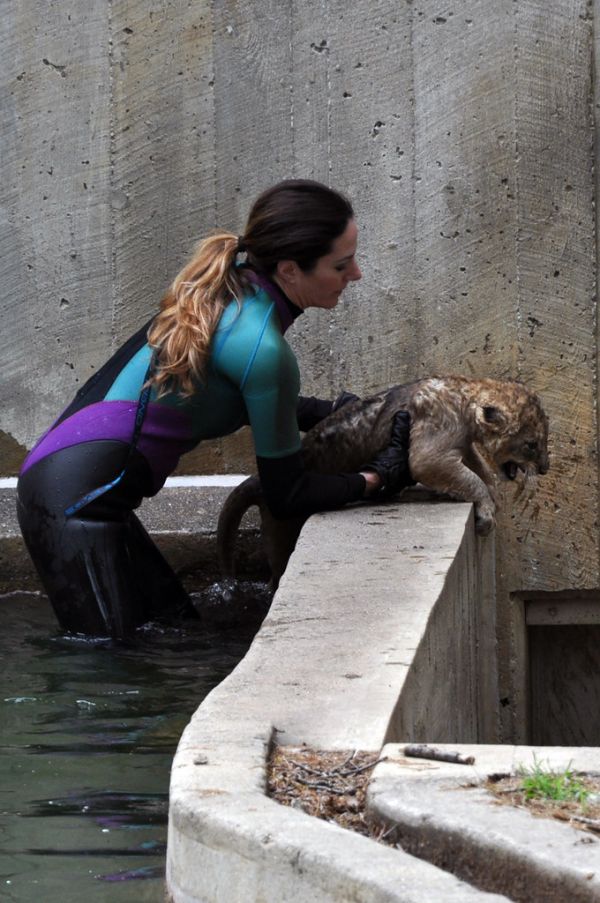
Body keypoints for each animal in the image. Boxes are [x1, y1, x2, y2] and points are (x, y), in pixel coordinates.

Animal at [217, 376, 550, 589]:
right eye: (532, 444)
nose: (545, 469)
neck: (463, 397)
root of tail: (258, 481)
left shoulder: (463, 445)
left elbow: (480, 470)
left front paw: (493, 494)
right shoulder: (430, 450)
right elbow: (467, 477)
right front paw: (487, 512)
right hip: (280, 530)